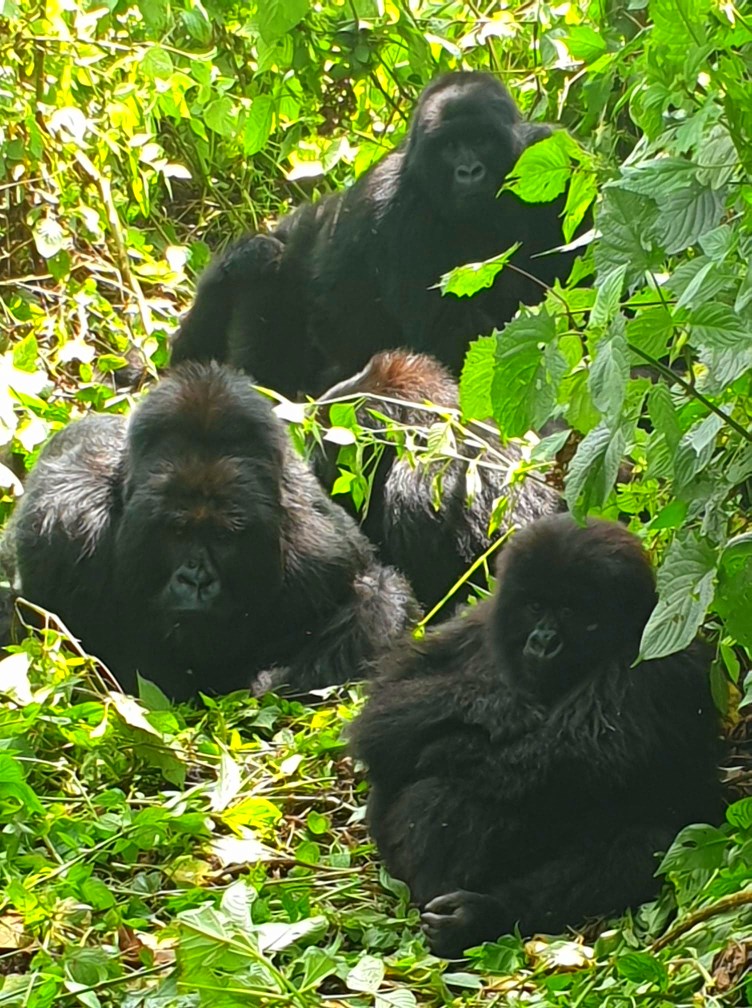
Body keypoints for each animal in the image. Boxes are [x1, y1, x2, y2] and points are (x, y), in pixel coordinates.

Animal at [2, 362, 415, 701]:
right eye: (177, 531)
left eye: (223, 537)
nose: (196, 581)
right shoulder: (62, 530)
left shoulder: (320, 554)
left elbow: (374, 603)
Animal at [172, 73, 576, 395]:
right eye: (449, 147)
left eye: (480, 140)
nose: (469, 171)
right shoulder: (398, 211)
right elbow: (450, 335)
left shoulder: (552, 154)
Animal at [350, 516, 721, 955]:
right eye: (535, 606)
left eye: (570, 610)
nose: (544, 642)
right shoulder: (476, 624)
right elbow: (382, 709)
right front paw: (493, 704)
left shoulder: (661, 669)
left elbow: (559, 764)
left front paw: (458, 745)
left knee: (647, 844)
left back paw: (482, 915)